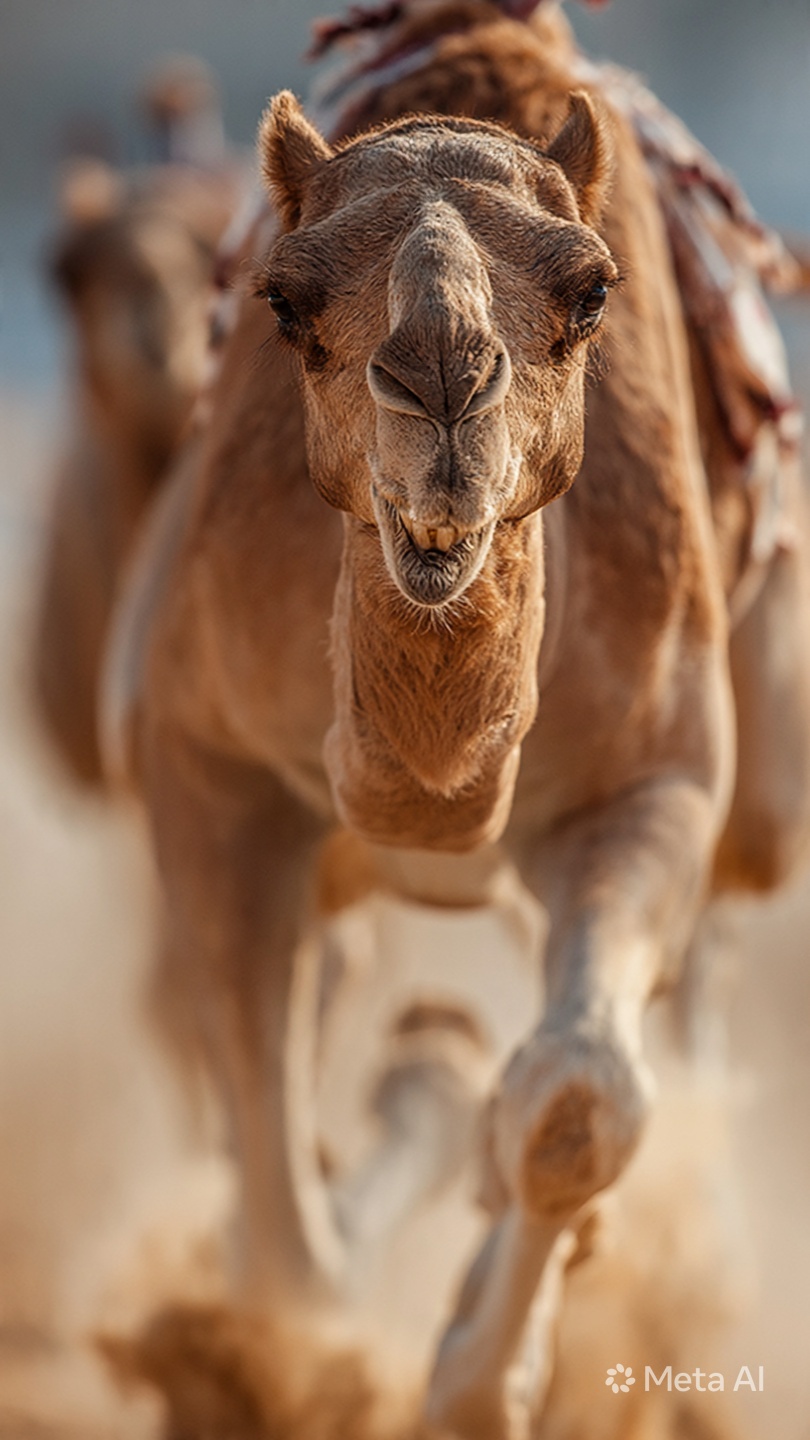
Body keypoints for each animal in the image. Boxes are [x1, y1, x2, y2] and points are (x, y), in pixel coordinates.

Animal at [101, 2, 810, 1436]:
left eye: (592, 290)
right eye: (285, 300)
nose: (440, 379)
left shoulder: (650, 783)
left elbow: (582, 1101)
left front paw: (475, 1388)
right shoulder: (203, 764)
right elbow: (274, 1189)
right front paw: (285, 1364)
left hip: (757, 787)